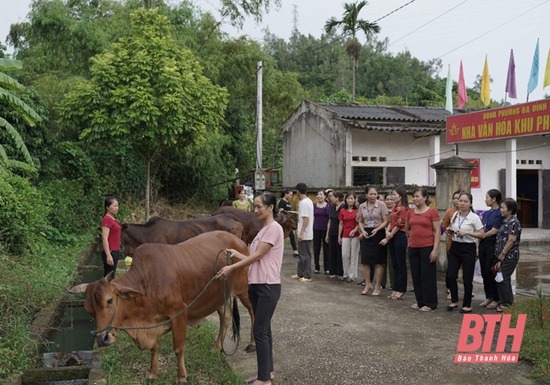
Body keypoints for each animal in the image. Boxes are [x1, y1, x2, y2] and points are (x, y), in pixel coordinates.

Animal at [69, 231, 250, 384]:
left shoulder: (179, 314)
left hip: (244, 290)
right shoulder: (152, 322)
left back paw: (251, 345)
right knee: (226, 318)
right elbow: (154, 348)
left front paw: (181, 377)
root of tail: (239, 241)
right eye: (88, 309)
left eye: (109, 301)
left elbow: (178, 348)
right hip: (220, 297)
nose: (102, 339)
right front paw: (152, 373)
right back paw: (216, 347)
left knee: (253, 314)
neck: (147, 283)